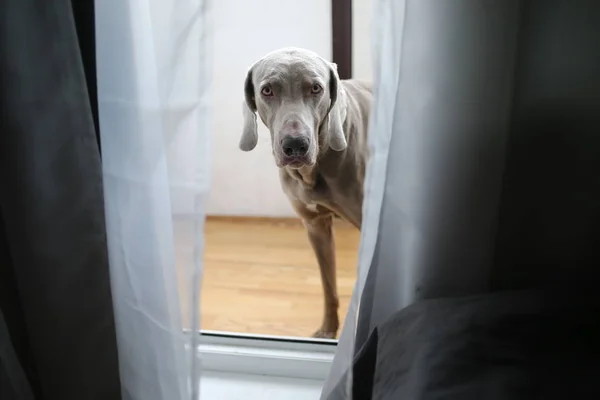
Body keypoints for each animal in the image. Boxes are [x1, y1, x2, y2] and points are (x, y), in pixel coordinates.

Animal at [238, 48, 370, 340]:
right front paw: (327, 331)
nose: (295, 145)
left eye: (316, 88)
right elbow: (328, 284)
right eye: (267, 90)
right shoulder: (315, 226)